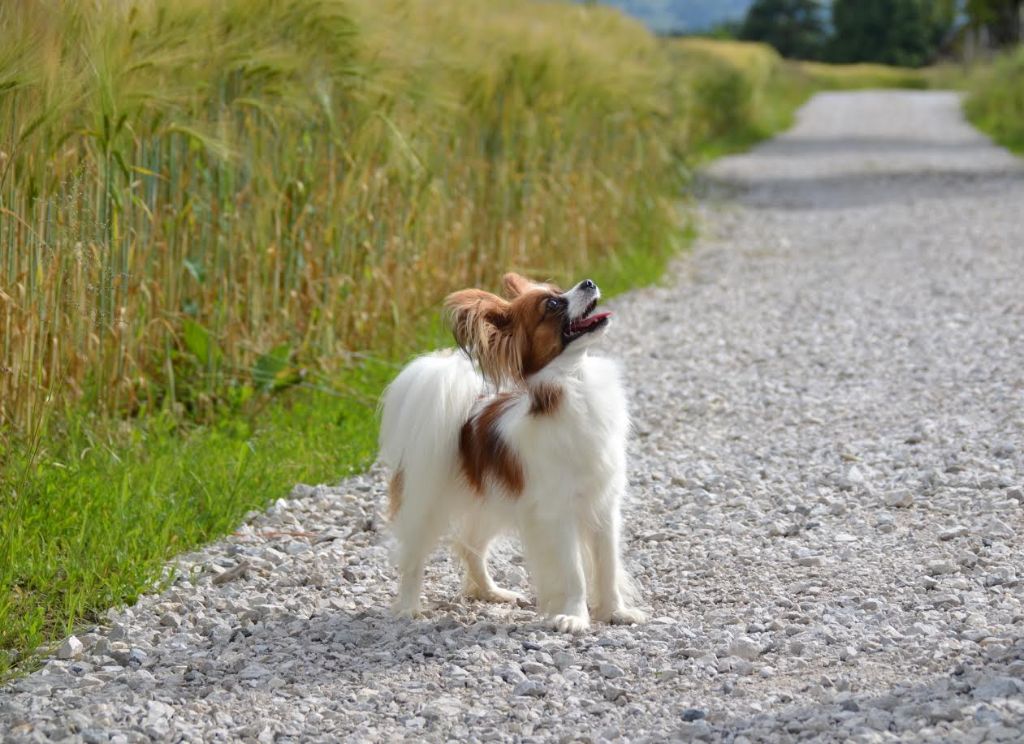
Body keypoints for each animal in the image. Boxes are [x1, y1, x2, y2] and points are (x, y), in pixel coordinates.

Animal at [376, 274, 647, 634]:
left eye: (559, 291)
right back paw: (408, 607)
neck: (576, 382)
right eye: (553, 304)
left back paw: (492, 592)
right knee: (414, 557)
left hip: (492, 505)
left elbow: (607, 567)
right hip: (427, 502)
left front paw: (616, 611)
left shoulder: (604, 507)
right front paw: (574, 617)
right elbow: (574, 572)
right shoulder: (557, 513)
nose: (588, 282)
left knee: (470, 547)